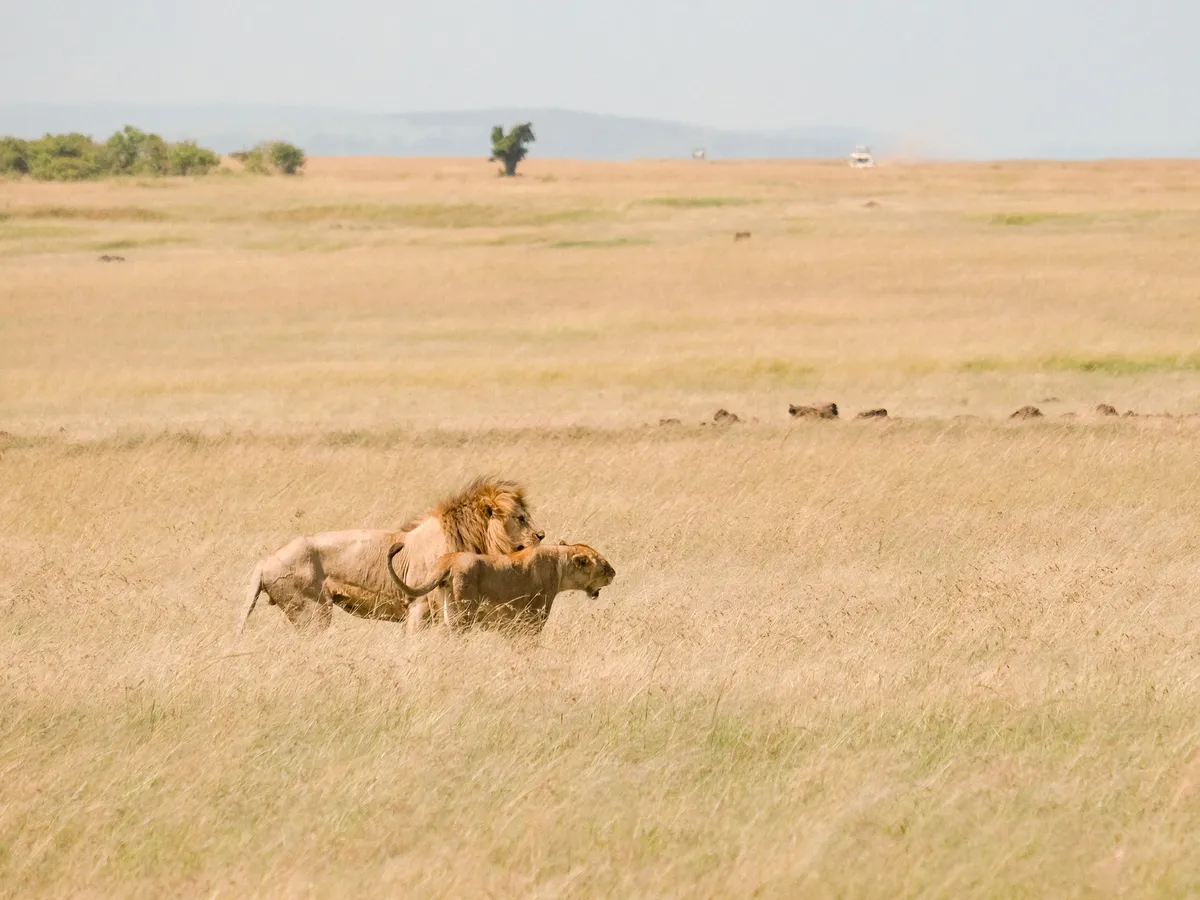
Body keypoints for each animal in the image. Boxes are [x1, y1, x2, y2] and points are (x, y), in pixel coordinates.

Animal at [386, 542, 614, 633]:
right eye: (604, 566)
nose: (614, 573)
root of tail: (448, 560)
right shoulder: (532, 619)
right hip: (463, 614)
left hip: (446, 610)